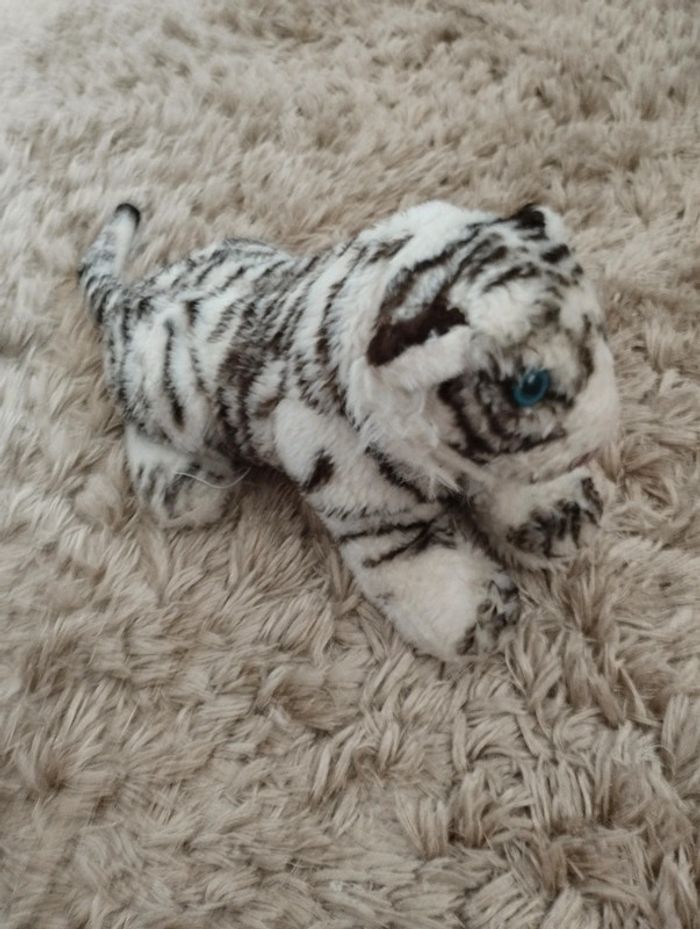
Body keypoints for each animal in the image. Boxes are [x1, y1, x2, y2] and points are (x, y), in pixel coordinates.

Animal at [78, 199, 619, 661]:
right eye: (530, 387)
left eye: (597, 327)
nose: (603, 429)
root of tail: (127, 297)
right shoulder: (368, 503)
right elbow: (419, 561)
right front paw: (482, 614)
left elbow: (514, 474)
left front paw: (559, 510)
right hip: (165, 402)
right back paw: (187, 487)